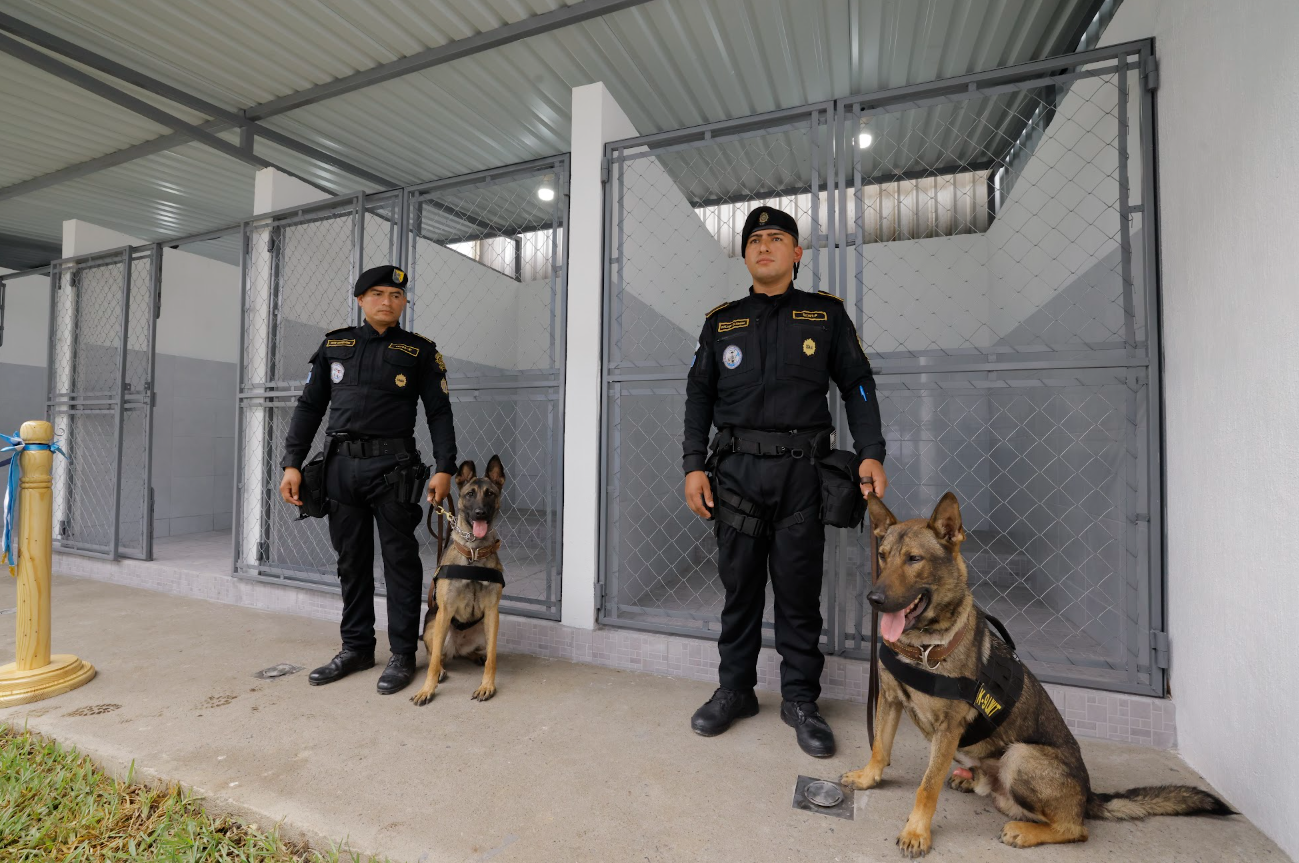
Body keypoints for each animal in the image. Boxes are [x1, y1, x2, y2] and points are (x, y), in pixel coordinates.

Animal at [411, 456, 506, 706]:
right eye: (470, 494)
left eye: (490, 494)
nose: (480, 513)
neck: (473, 552)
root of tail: (458, 647)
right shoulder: (445, 611)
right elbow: (433, 661)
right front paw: (427, 689)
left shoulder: (492, 612)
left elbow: (493, 657)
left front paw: (487, 686)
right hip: (434, 628)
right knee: (435, 655)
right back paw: (442, 670)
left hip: (485, 628)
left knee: (476, 651)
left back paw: (475, 656)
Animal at [841, 492, 1232, 857]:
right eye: (883, 555)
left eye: (914, 559)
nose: (874, 599)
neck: (924, 646)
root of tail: (1088, 795)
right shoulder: (891, 699)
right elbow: (880, 746)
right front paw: (868, 777)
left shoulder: (948, 729)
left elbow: (927, 786)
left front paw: (917, 832)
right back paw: (974, 781)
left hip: (1021, 757)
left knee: (1075, 829)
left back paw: (1025, 831)